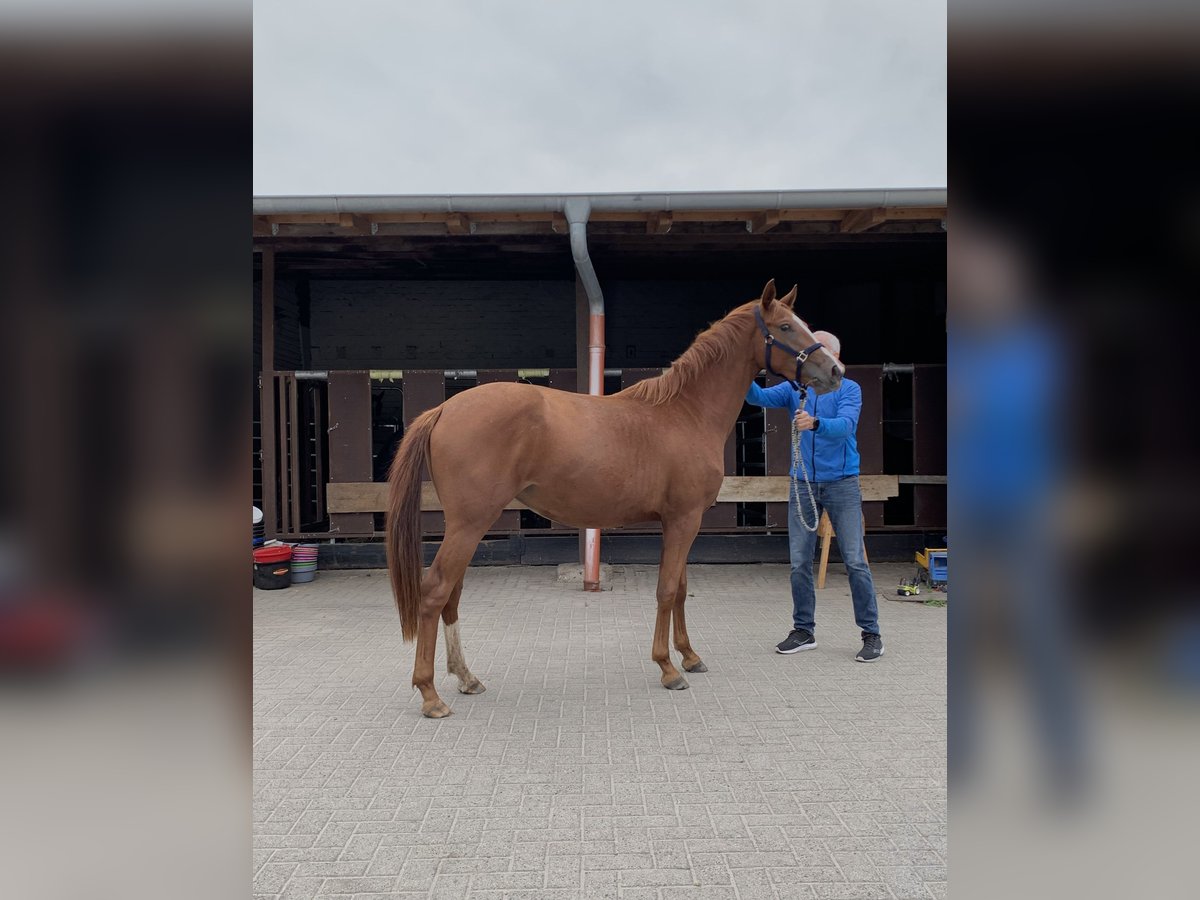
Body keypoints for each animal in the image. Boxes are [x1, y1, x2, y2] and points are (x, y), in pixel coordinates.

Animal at [386, 282, 844, 720]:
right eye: (785, 327)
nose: (835, 371)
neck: (686, 412)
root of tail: (444, 410)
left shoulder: (680, 522)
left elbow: (680, 588)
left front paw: (689, 656)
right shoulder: (684, 520)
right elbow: (666, 590)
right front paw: (668, 668)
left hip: (467, 526)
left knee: (452, 594)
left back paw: (466, 678)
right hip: (469, 524)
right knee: (435, 590)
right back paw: (430, 695)